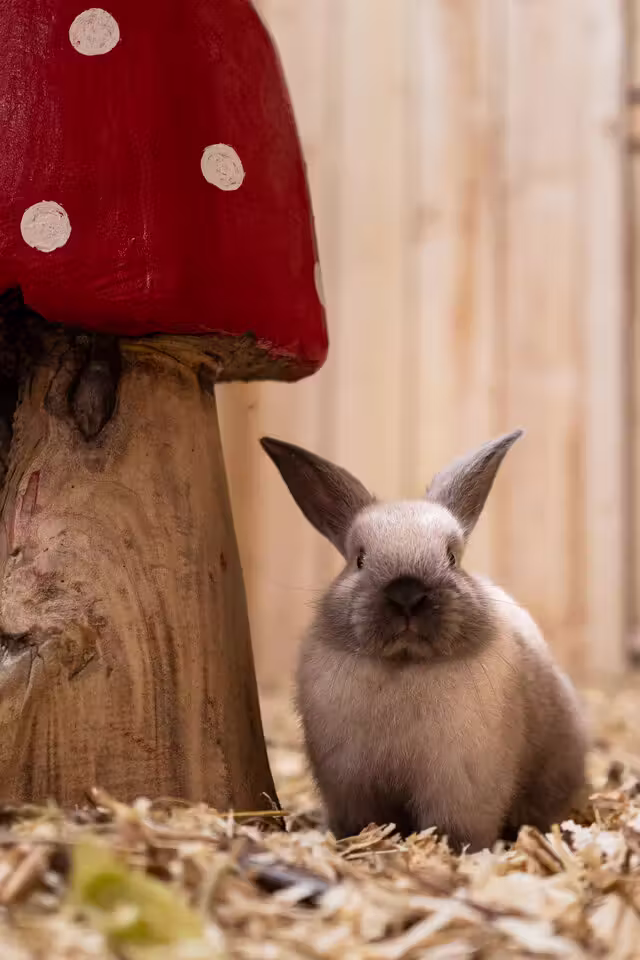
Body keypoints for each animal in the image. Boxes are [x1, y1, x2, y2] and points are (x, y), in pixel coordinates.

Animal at [260, 430, 588, 852]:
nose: (407, 593)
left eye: (452, 558)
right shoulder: (350, 784)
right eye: (359, 560)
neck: (405, 664)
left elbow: (455, 827)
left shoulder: (459, 786)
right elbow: (362, 822)